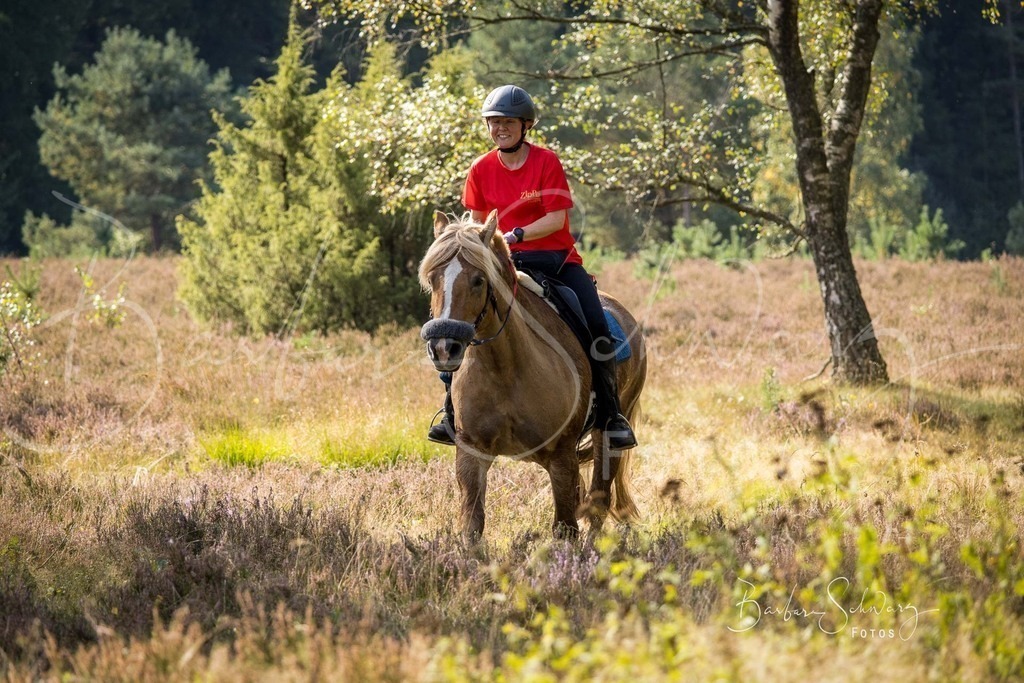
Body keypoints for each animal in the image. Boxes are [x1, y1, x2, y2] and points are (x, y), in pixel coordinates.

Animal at [418, 210, 647, 541]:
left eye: (478, 280)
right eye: (433, 278)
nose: (443, 347)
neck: (505, 370)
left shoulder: (561, 457)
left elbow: (566, 529)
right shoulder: (472, 453)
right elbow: (472, 526)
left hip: (607, 438)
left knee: (598, 505)